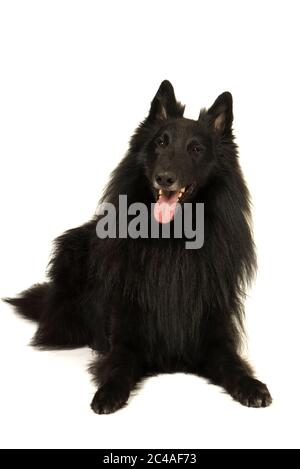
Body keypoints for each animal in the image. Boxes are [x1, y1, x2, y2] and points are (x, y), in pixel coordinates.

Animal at [4, 81, 272, 414]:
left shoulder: (215, 337)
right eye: (161, 142)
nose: (165, 178)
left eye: (196, 149)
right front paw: (108, 392)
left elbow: (233, 364)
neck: (172, 241)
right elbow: (119, 364)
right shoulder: (126, 336)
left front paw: (252, 386)